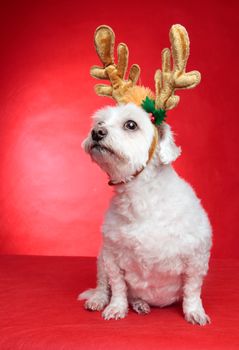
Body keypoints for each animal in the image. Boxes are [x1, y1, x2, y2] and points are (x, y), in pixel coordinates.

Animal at [79, 103, 212, 326]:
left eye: (131, 125)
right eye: (100, 122)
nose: (96, 132)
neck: (141, 198)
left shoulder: (196, 257)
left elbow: (192, 290)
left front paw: (194, 312)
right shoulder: (112, 256)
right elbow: (118, 287)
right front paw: (116, 307)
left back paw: (140, 304)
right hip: (101, 260)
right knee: (104, 286)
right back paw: (102, 300)